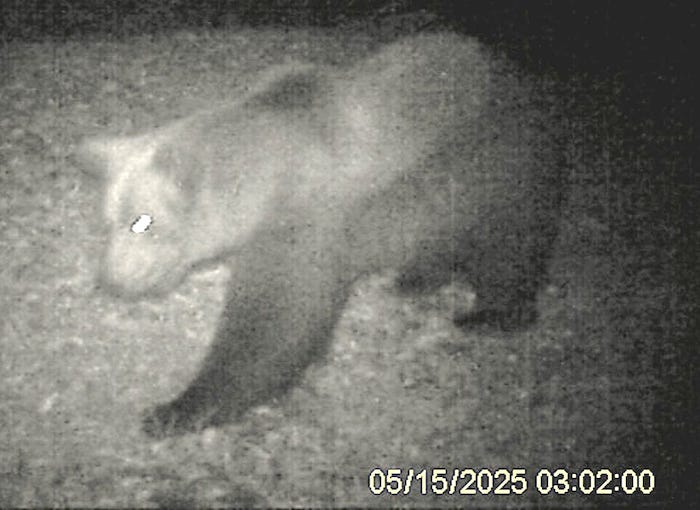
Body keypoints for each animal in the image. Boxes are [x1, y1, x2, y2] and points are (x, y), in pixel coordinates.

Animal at [78, 32, 564, 438]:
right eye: (108, 220)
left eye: (144, 221)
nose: (110, 281)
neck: (268, 184)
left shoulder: (307, 221)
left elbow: (276, 322)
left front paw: (177, 409)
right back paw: (415, 279)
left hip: (494, 170)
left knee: (509, 246)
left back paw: (491, 314)